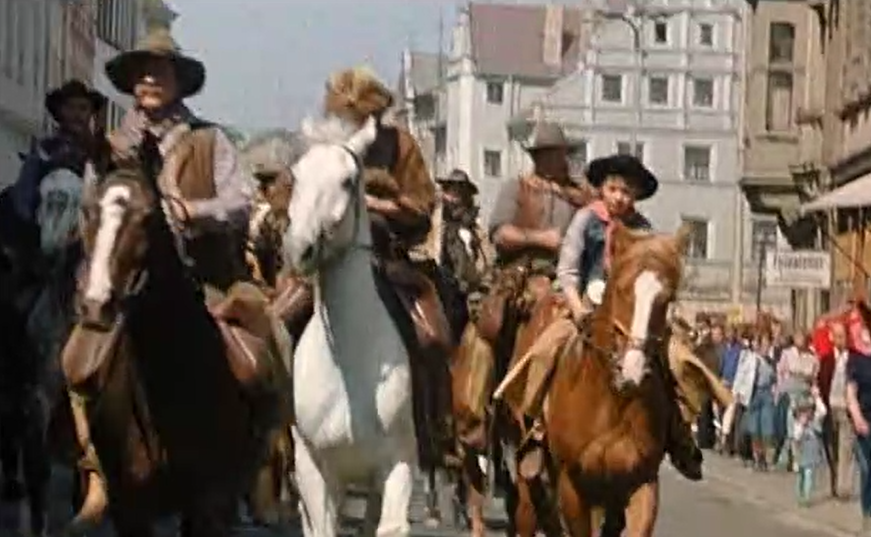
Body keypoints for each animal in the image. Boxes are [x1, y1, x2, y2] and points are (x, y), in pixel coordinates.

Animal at [511, 222, 689, 537]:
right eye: (621, 289)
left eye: (667, 298)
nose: (632, 369)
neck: (612, 402)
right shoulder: (573, 486)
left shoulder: (640, 483)